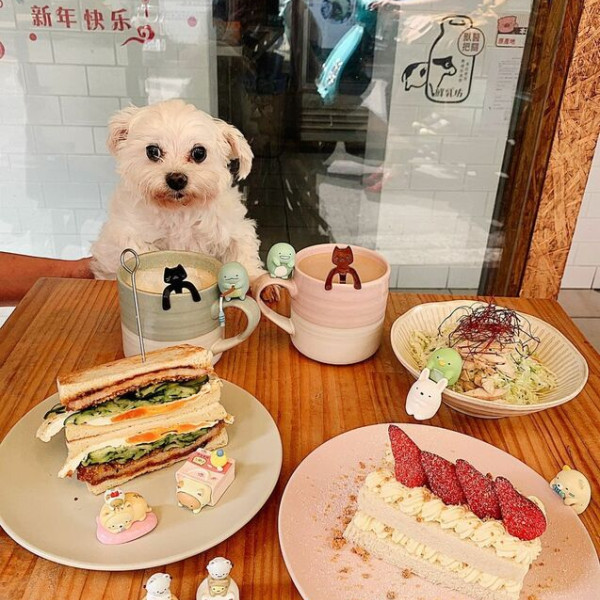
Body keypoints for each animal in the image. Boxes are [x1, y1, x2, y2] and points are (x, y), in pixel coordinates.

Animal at [91, 100, 265, 284]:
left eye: (199, 153)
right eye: (152, 151)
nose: (176, 179)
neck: (179, 212)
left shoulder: (234, 230)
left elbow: (242, 254)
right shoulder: (133, 237)